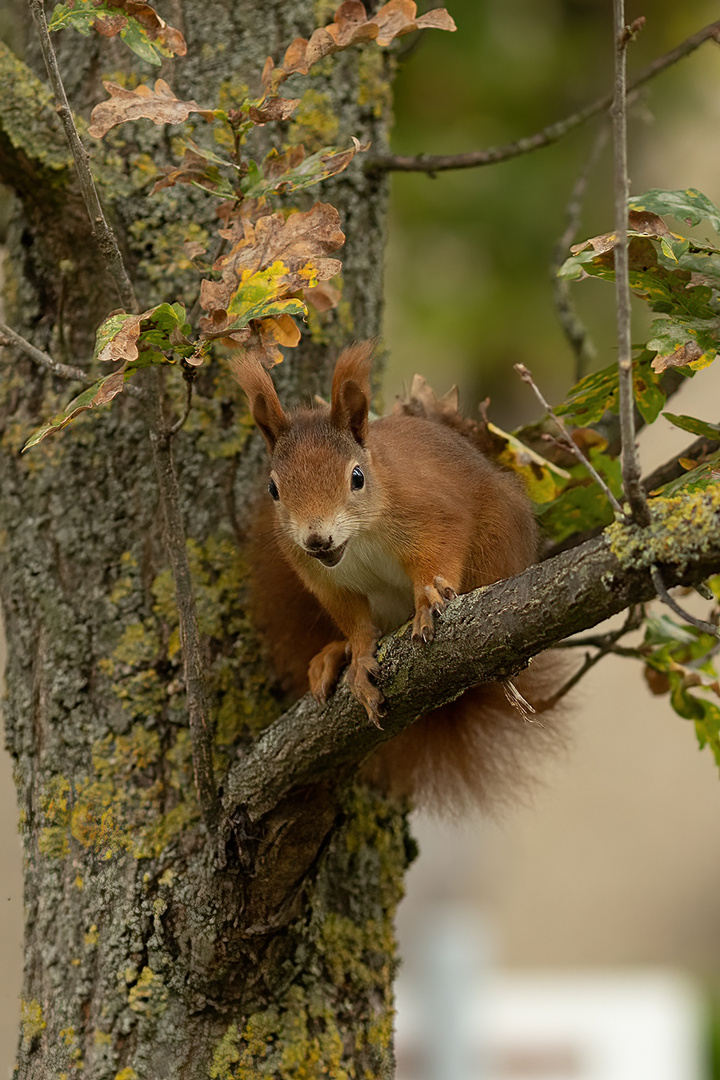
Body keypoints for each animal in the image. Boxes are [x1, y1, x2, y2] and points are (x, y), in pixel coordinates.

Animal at [236, 345, 561, 812]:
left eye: (356, 477)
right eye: (273, 489)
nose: (317, 538)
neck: (357, 539)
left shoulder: (431, 512)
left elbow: (436, 557)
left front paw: (427, 602)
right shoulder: (319, 575)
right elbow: (353, 619)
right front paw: (357, 654)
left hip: (495, 541)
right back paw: (332, 655)